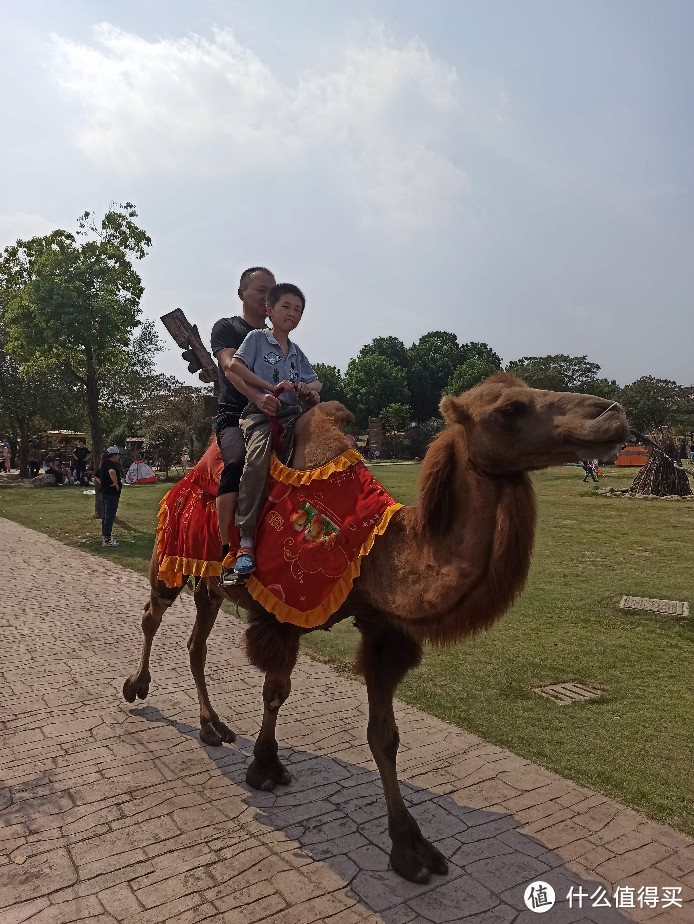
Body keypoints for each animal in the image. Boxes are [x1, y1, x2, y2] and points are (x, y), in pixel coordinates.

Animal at [123, 374, 632, 880]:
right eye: (511, 409)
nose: (613, 414)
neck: (376, 552)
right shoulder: (283, 613)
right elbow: (275, 693)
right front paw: (265, 768)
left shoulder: (382, 629)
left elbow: (383, 735)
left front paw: (411, 847)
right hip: (169, 553)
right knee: (153, 615)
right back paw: (136, 687)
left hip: (208, 582)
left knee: (196, 643)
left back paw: (212, 726)